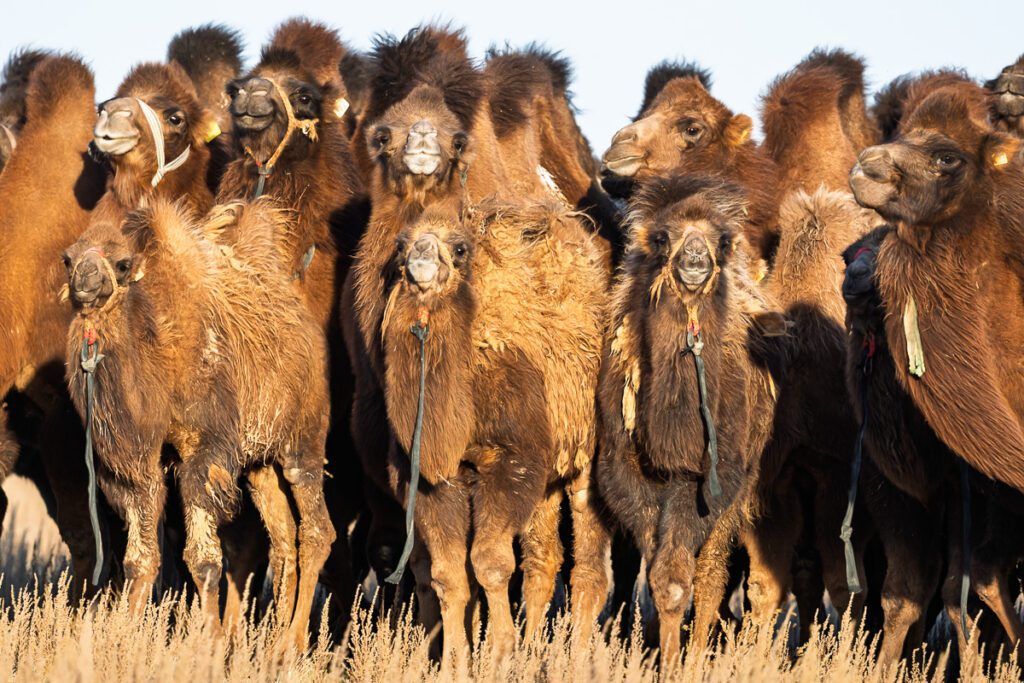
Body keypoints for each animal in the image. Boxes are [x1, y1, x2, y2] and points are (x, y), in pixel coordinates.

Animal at [63, 199, 334, 650]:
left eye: (122, 263)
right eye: (67, 258)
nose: (84, 280)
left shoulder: (203, 451)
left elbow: (203, 558)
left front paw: (208, 644)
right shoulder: (136, 464)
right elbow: (140, 558)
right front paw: (122, 639)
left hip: (303, 442)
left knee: (316, 532)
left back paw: (291, 644)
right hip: (260, 465)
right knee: (282, 540)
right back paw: (272, 639)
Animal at [378, 198, 606, 660]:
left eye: (459, 248)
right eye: (401, 244)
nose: (421, 255)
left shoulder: (510, 461)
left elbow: (490, 563)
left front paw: (500, 652)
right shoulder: (433, 480)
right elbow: (449, 574)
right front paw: (455, 659)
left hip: (585, 460)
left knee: (588, 566)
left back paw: (576, 656)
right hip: (547, 481)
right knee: (542, 561)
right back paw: (536, 648)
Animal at [596, 175, 780, 666]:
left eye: (721, 240)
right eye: (664, 238)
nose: (696, 258)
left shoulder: (708, 481)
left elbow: (681, 579)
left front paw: (677, 662)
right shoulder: (626, 476)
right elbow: (659, 576)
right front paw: (655, 651)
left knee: (713, 569)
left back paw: (699, 652)